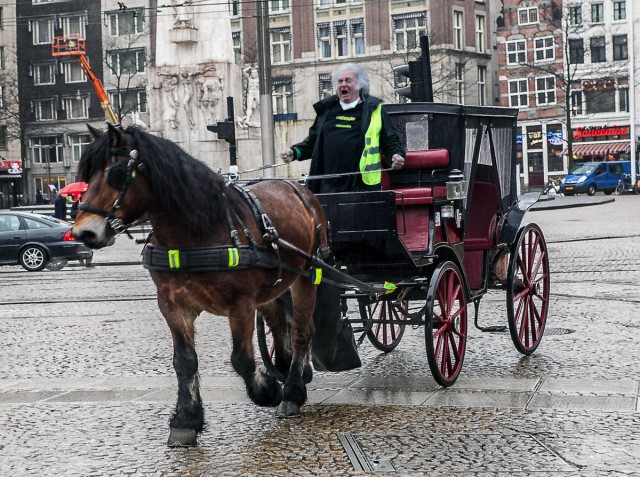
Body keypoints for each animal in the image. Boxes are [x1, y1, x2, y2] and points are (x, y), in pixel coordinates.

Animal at [72, 123, 328, 446]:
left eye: (115, 172)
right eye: (86, 175)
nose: (83, 233)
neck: (196, 233)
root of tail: (298, 188)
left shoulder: (241, 305)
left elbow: (241, 359)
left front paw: (268, 391)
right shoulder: (172, 304)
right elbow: (185, 361)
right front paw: (186, 419)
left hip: (308, 275)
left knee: (301, 331)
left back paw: (292, 390)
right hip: (275, 284)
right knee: (281, 323)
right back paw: (288, 368)